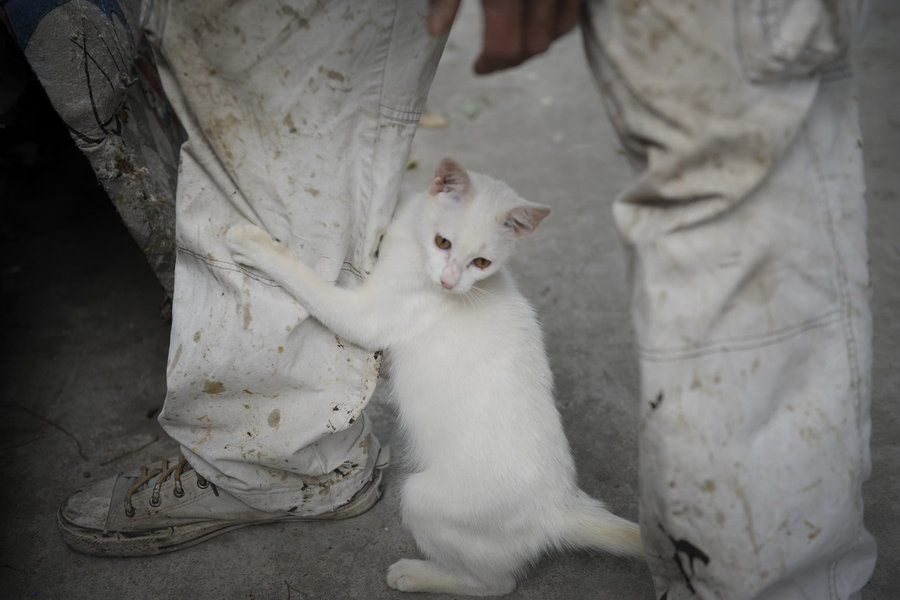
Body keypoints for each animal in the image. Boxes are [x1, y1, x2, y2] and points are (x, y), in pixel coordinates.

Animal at [229, 158, 644, 596]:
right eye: (443, 242)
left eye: (482, 263)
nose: (448, 282)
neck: (412, 243)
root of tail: (561, 506)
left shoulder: (367, 316)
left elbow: (310, 283)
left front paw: (256, 246)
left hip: (422, 499)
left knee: (497, 584)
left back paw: (415, 574)